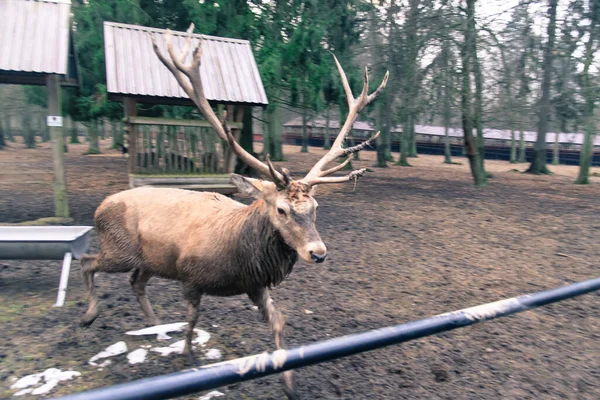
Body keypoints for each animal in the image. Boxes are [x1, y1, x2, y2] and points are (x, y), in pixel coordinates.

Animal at [79, 25, 390, 400]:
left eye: (316, 207)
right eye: (282, 209)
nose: (318, 253)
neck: (236, 256)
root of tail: (100, 206)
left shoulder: (255, 284)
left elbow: (279, 321)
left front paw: (290, 385)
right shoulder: (190, 277)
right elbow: (192, 319)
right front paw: (186, 359)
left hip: (148, 260)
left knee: (135, 282)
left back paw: (155, 326)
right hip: (120, 249)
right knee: (88, 262)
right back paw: (89, 316)